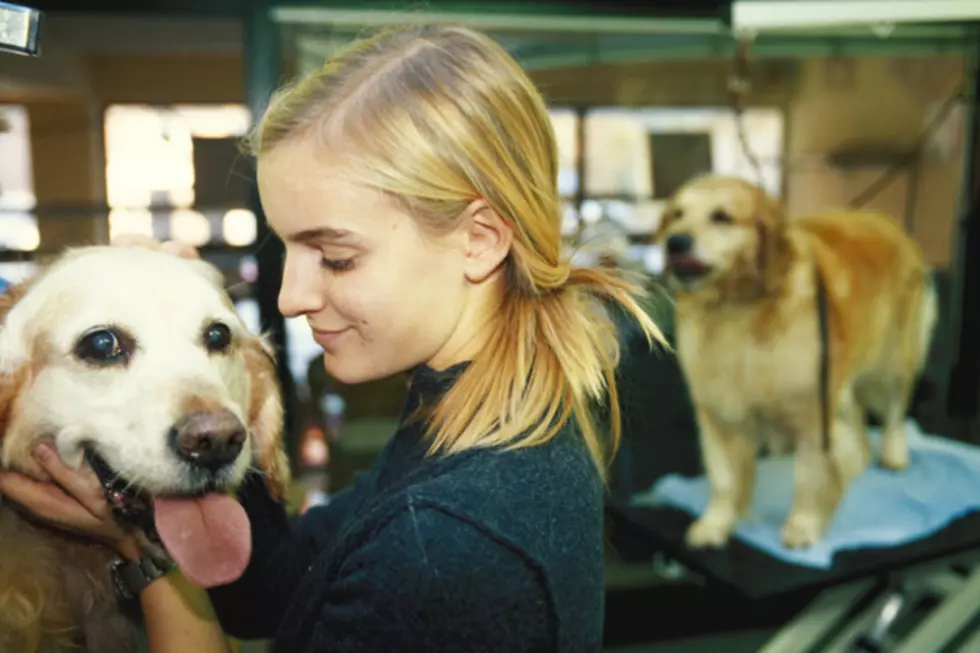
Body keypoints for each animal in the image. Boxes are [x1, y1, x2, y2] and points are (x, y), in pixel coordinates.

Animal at [656, 176, 936, 548]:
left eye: (721, 217)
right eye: (676, 215)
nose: (675, 242)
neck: (740, 308)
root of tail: (888, 222)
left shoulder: (813, 413)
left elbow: (810, 478)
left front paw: (803, 525)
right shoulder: (720, 412)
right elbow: (724, 478)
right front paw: (716, 523)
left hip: (890, 366)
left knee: (894, 415)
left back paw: (893, 455)